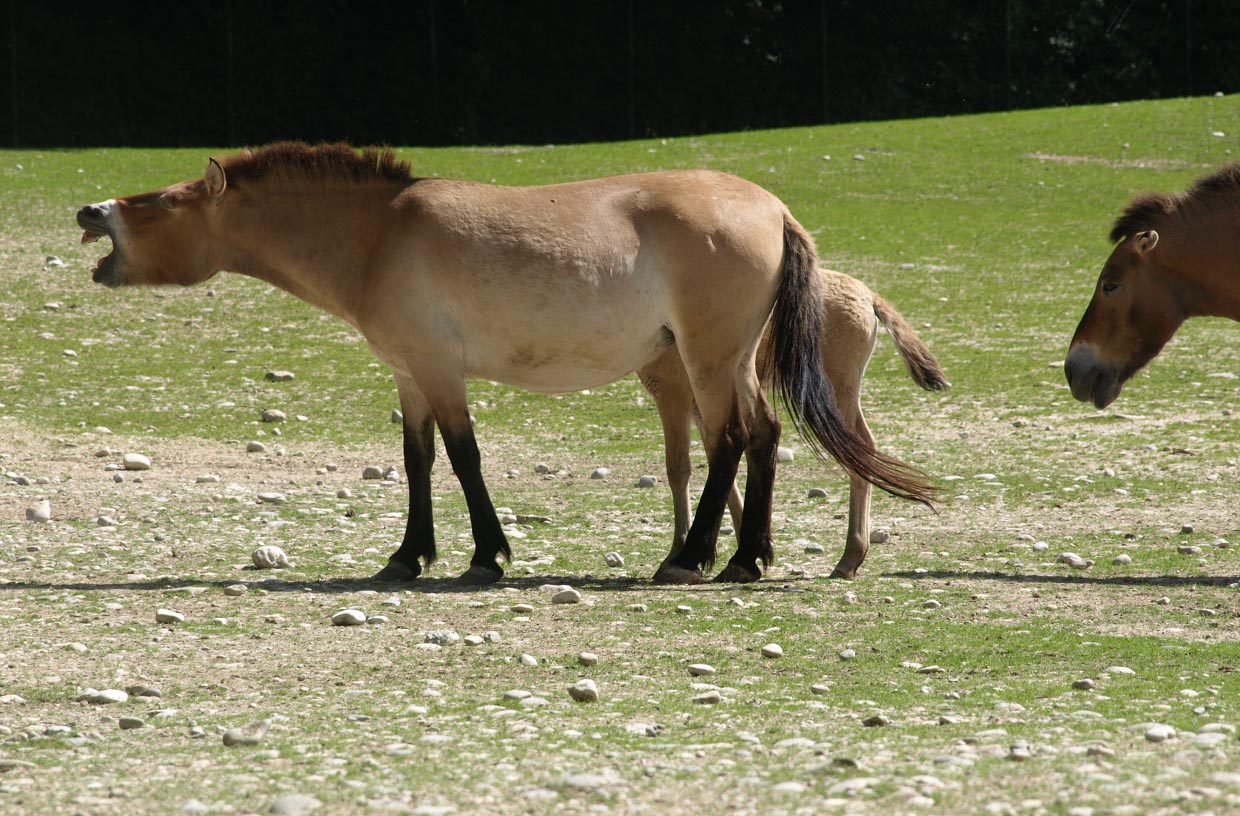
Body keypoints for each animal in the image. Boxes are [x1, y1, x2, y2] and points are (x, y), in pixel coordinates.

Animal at [640, 268, 947, 581]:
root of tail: (868, 296)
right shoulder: (700, 408)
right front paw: (738, 549)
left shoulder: (672, 395)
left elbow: (679, 470)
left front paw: (677, 556)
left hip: (837, 391)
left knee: (858, 450)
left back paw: (848, 559)